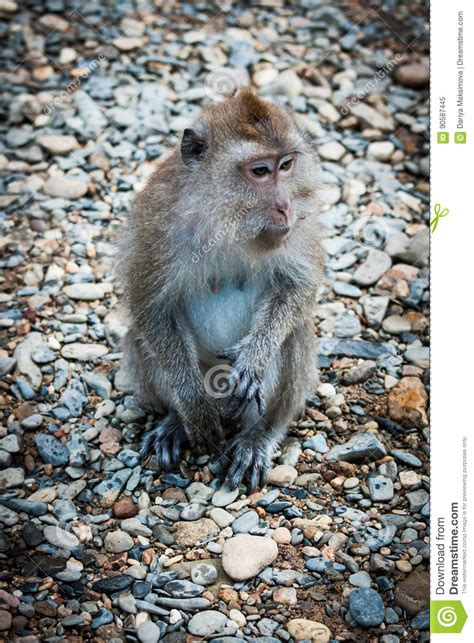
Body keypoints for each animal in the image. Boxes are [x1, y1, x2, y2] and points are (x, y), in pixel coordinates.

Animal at [117, 87, 326, 494]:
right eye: (260, 171)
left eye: (286, 165)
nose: (285, 207)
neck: (228, 219)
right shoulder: (159, 220)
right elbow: (149, 303)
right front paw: (193, 408)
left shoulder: (296, 224)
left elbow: (298, 283)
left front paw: (254, 359)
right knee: (138, 337)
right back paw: (176, 420)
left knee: (295, 335)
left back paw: (259, 435)